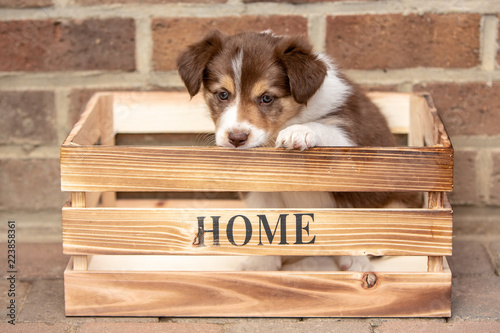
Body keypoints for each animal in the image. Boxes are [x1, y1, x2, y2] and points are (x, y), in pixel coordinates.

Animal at [178, 29, 416, 272]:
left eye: (267, 98)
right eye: (223, 94)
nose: (236, 138)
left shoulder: (353, 139)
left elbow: (324, 128)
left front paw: (298, 132)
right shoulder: (259, 187)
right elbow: (263, 221)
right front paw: (261, 265)